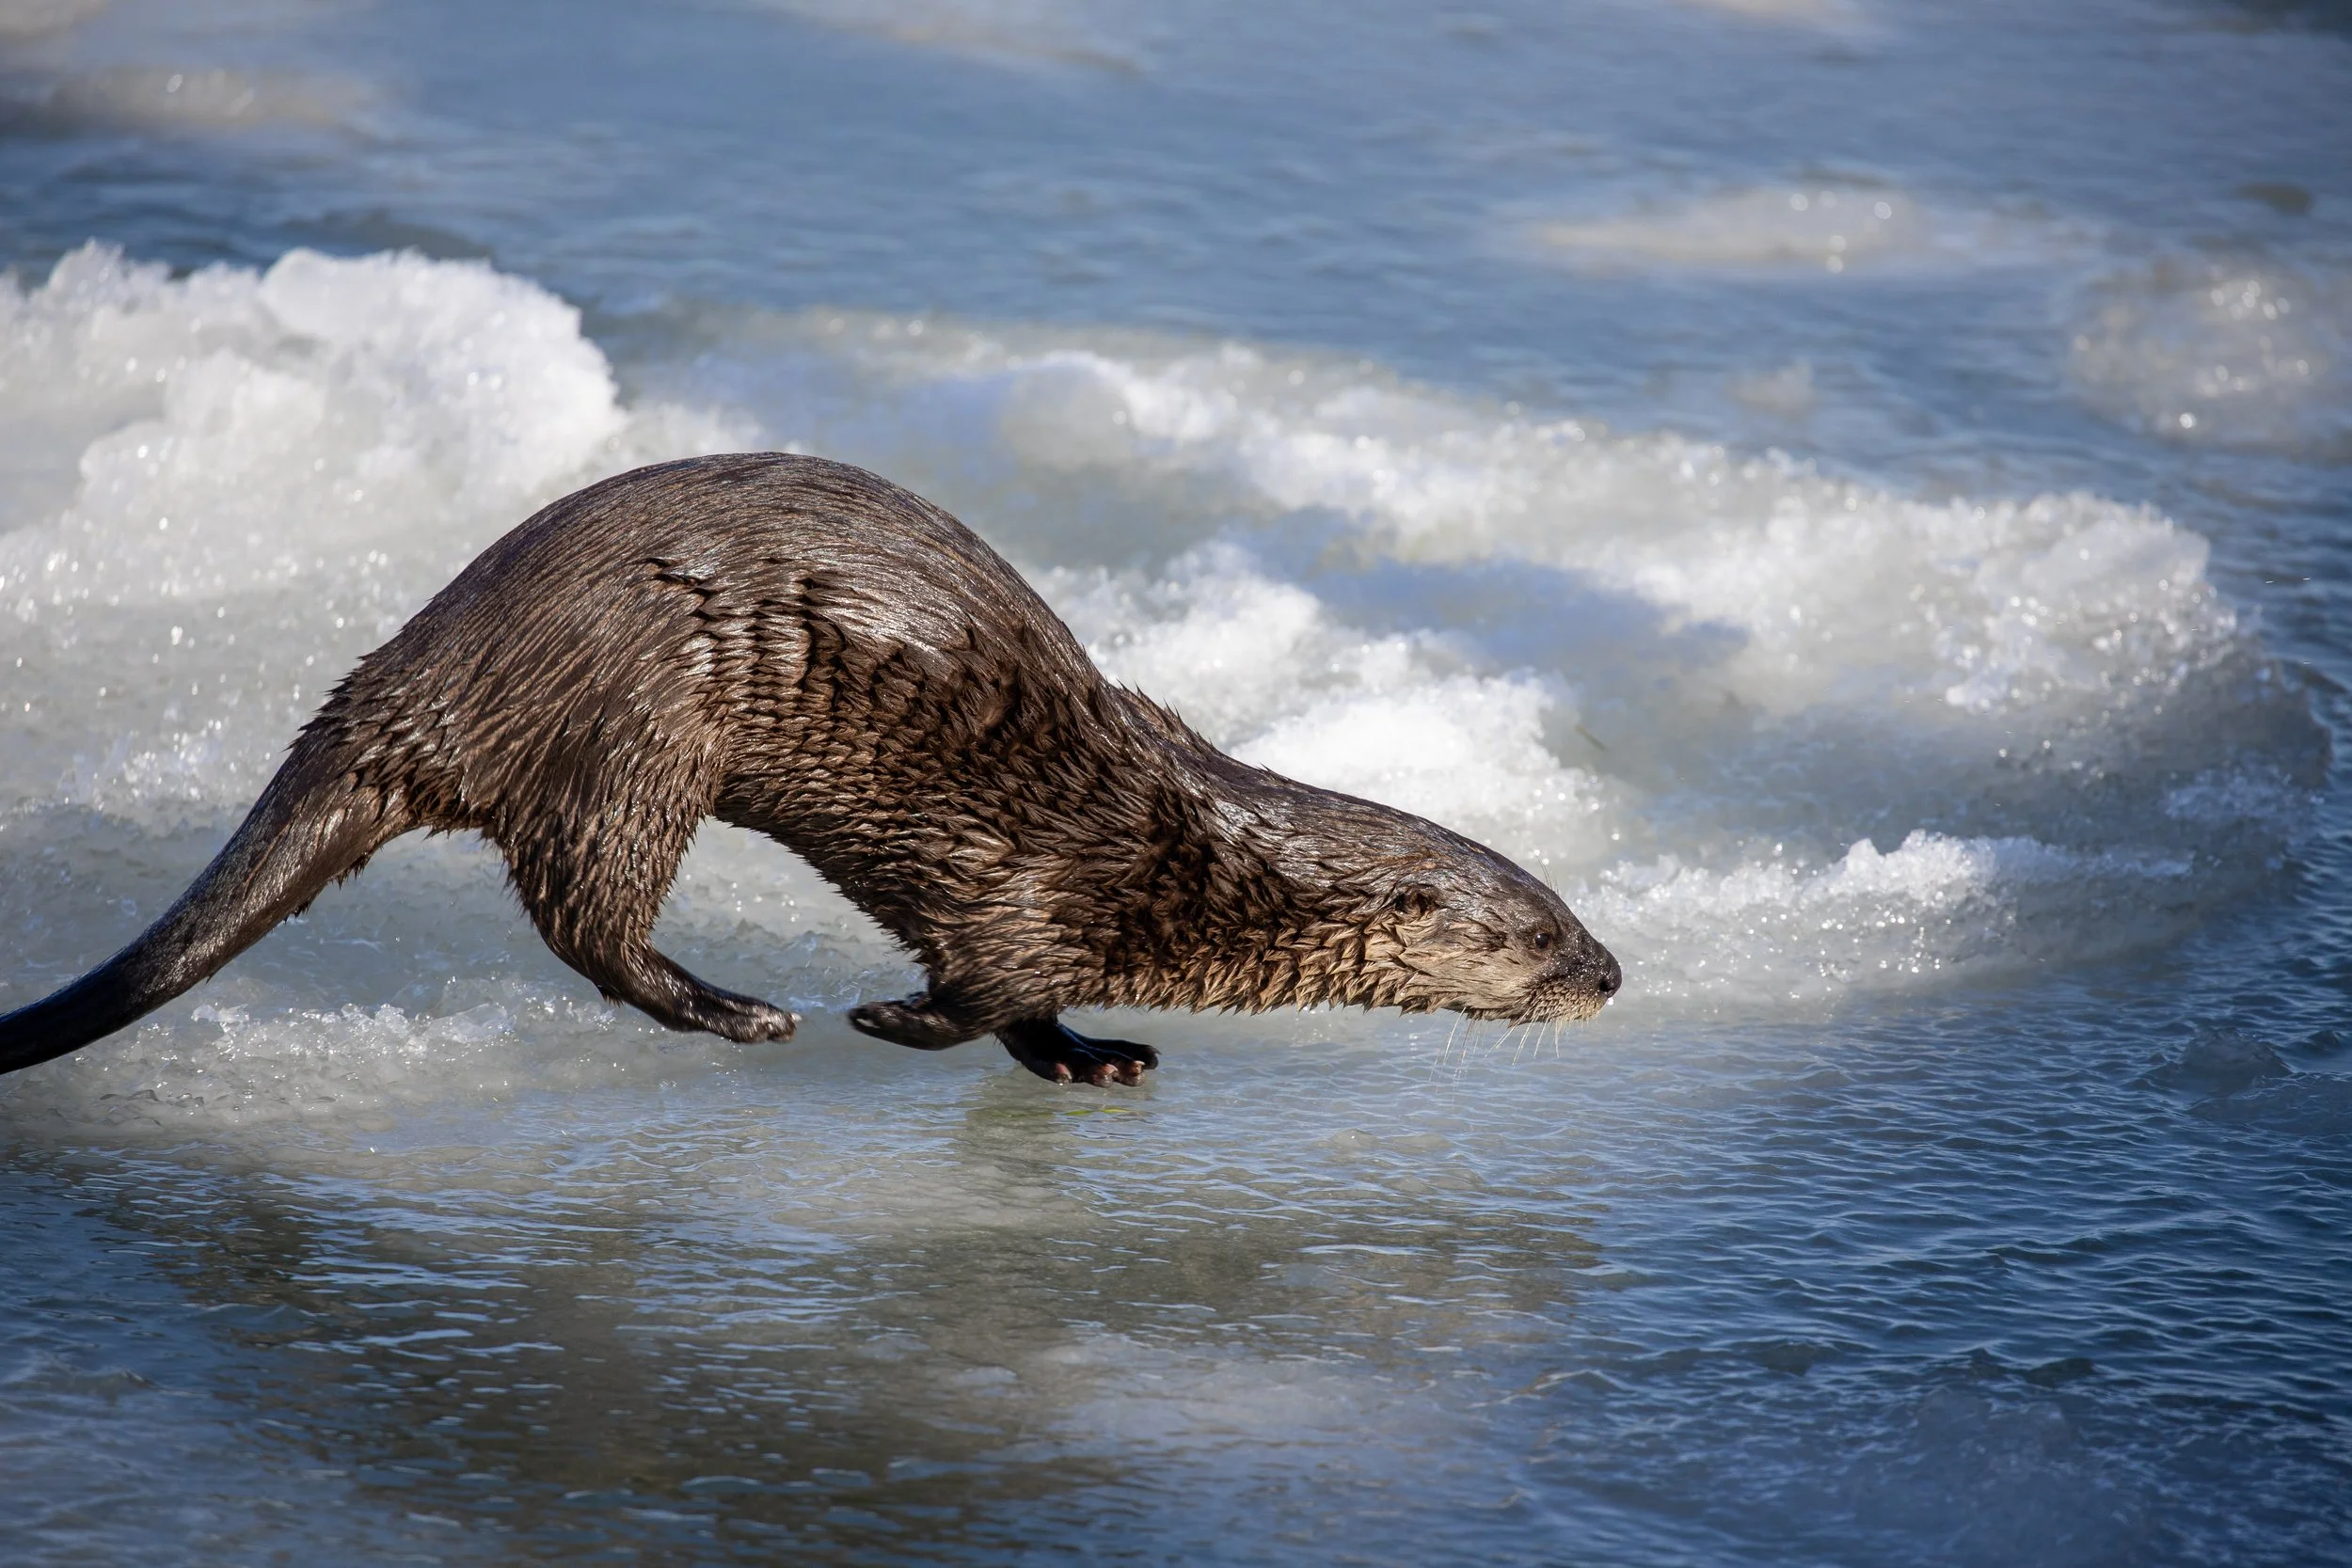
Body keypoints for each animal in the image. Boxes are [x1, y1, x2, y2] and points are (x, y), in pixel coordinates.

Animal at [0, 455, 1619, 1086]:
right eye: (1538, 931)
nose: (1612, 971)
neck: (1187, 859)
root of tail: (415, 681)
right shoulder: (1031, 888)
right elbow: (979, 990)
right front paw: (885, 1016)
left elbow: (1028, 1018)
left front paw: (1097, 1057)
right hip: (640, 730)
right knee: (588, 914)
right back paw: (745, 1009)